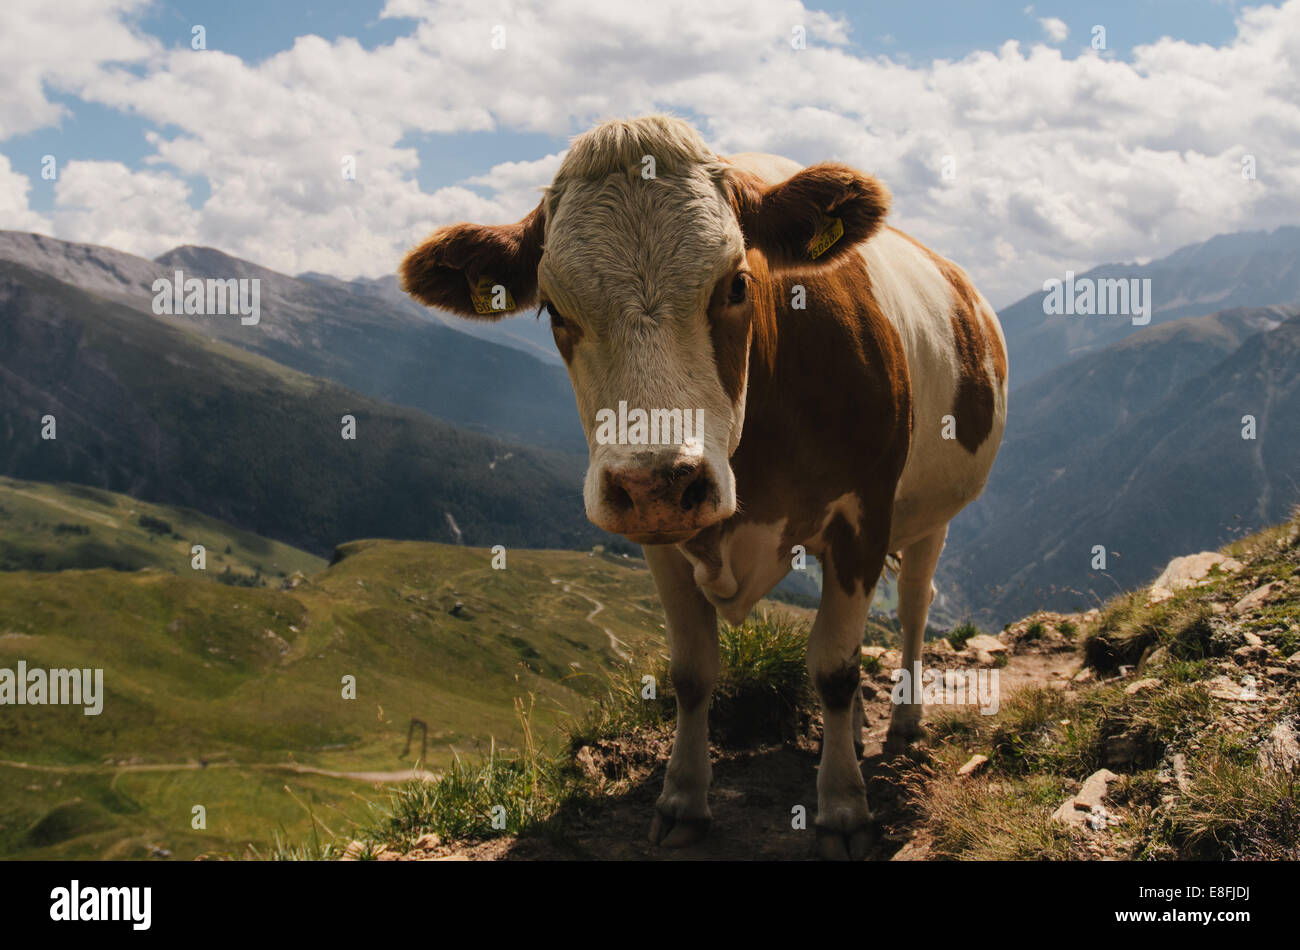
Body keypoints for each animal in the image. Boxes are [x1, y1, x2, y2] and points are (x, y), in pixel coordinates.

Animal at [400, 115, 1008, 857]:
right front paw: (683, 799)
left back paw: (905, 721)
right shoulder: (657, 533)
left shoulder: (863, 516)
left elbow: (834, 668)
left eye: (737, 284)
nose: (662, 478)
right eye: (552, 310)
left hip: (928, 516)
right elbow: (692, 673)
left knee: (917, 606)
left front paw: (842, 808)